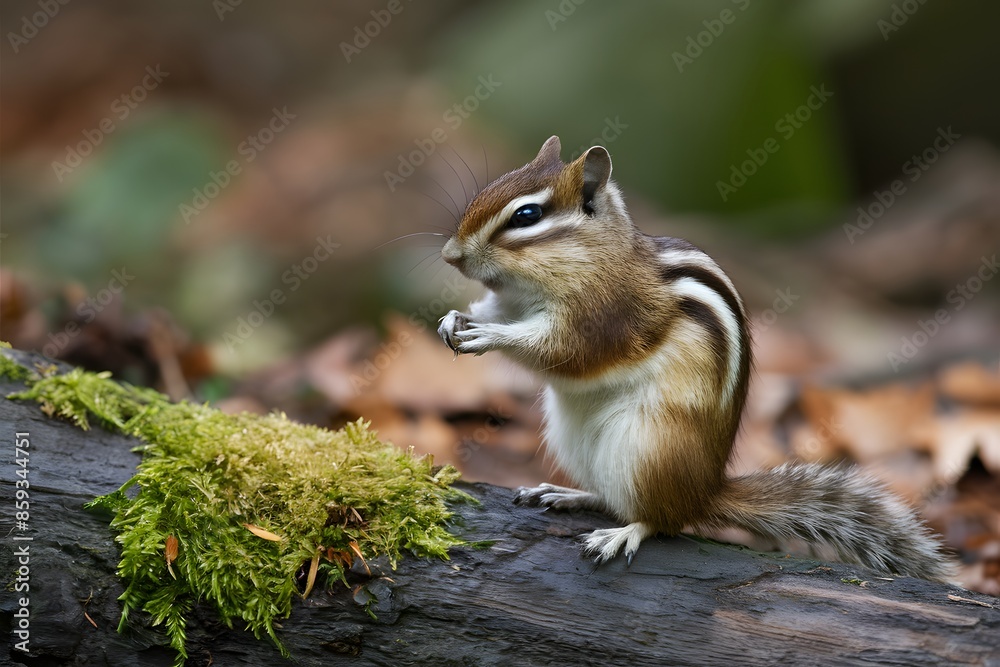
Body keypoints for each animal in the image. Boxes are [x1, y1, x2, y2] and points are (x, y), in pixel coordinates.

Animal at [436, 135, 952, 581]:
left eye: (526, 215)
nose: (449, 255)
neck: (596, 257)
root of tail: (703, 493)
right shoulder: (514, 301)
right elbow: (496, 310)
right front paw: (453, 319)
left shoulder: (606, 316)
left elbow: (564, 350)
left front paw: (489, 335)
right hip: (574, 440)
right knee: (616, 499)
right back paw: (571, 494)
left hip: (646, 448)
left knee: (660, 520)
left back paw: (624, 533)